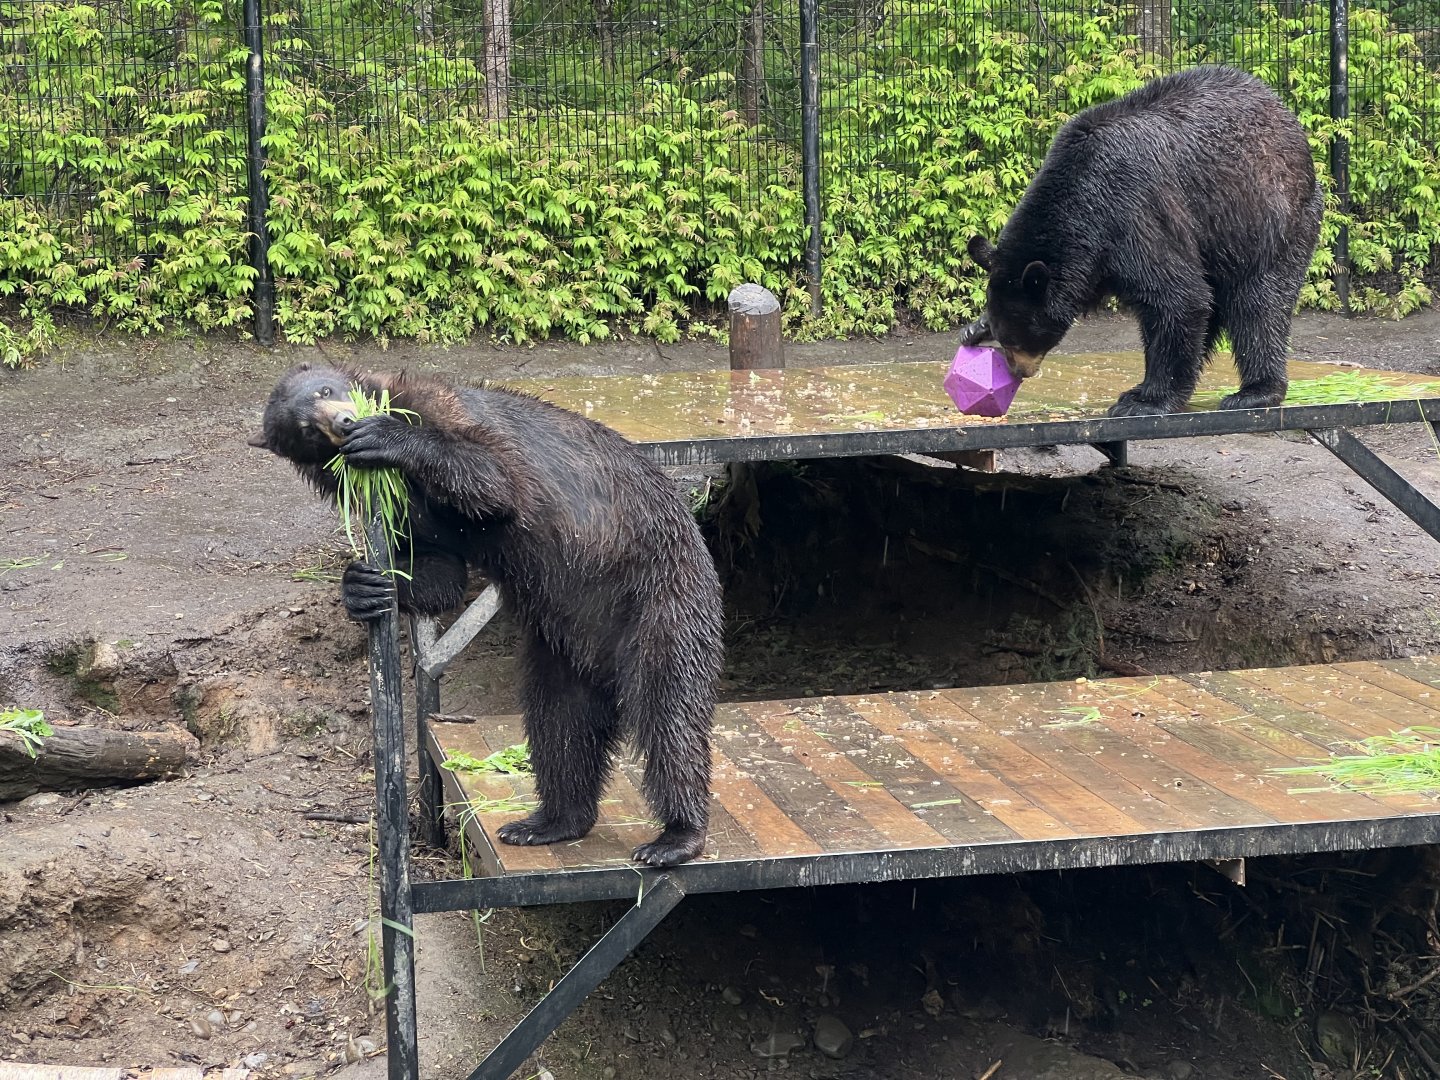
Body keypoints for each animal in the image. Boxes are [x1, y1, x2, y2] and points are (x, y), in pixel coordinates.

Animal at [249, 363, 725, 868]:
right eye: (303, 429)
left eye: (326, 388)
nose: (344, 422)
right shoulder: (403, 510)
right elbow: (436, 566)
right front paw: (364, 586)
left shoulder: (452, 416)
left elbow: (493, 482)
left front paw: (384, 435)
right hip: (561, 644)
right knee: (560, 725)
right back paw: (548, 821)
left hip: (658, 595)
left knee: (668, 710)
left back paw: (675, 836)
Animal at [964, 65, 1324, 417]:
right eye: (1005, 338)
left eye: (1020, 339)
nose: (1019, 372)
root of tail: (1288, 118)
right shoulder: (1097, 257)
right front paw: (975, 328)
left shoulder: (1132, 213)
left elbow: (1177, 298)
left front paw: (1145, 399)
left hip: (1270, 221)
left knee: (1259, 303)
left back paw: (1255, 391)